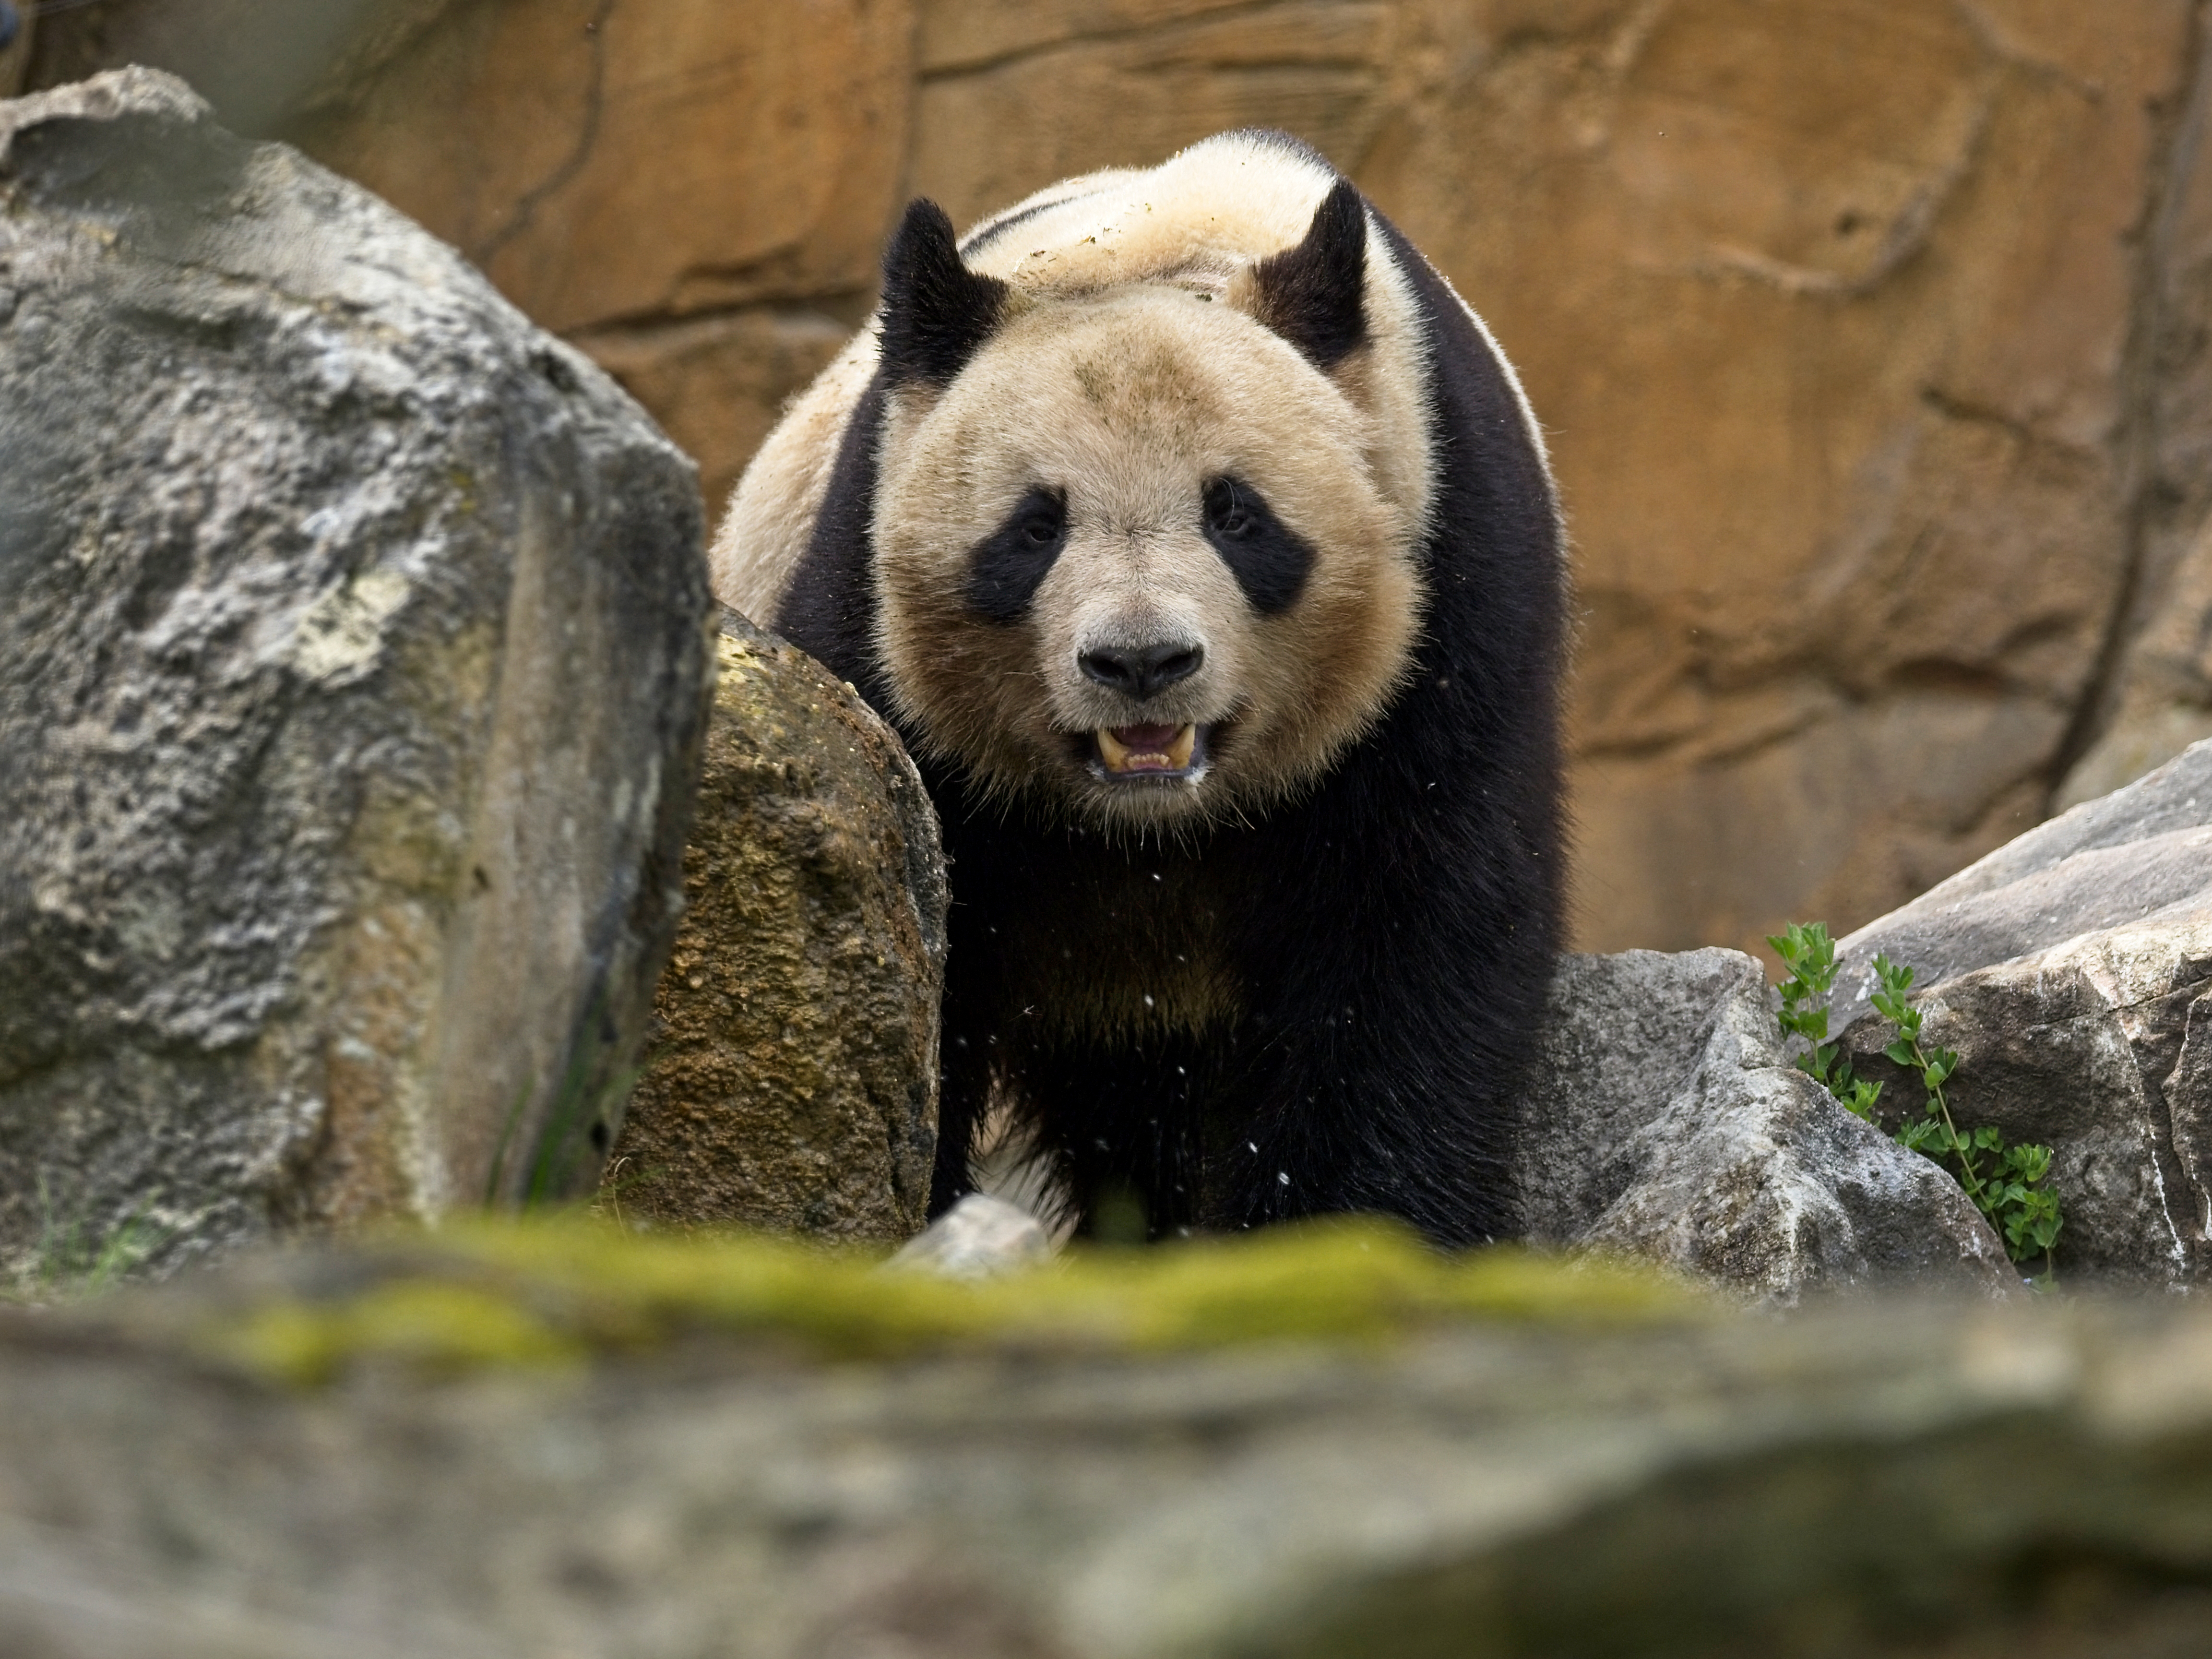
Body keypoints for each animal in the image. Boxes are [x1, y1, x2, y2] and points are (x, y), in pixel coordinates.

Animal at [713, 130, 1564, 1246]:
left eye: (1235, 513)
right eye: (1035, 526)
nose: (1141, 663)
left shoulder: (1453, 605)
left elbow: (1416, 942)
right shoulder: (873, 626)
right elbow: (906, 948)